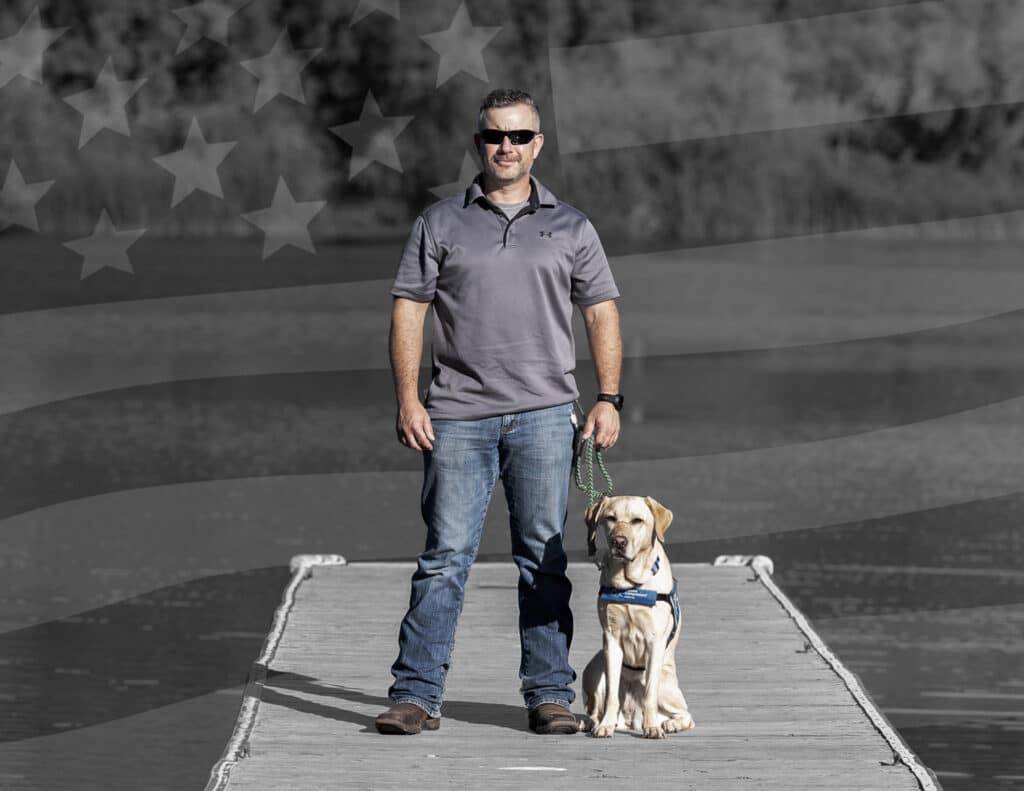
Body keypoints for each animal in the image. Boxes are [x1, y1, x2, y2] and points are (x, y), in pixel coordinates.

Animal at [581, 497, 692, 737]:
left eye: (637, 521)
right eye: (610, 518)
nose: (619, 541)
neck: (629, 585)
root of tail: (632, 720)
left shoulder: (655, 641)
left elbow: (650, 694)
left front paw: (652, 728)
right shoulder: (611, 639)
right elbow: (612, 694)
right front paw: (605, 726)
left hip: (666, 684)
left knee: (685, 714)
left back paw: (668, 724)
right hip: (594, 670)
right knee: (595, 708)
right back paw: (592, 722)